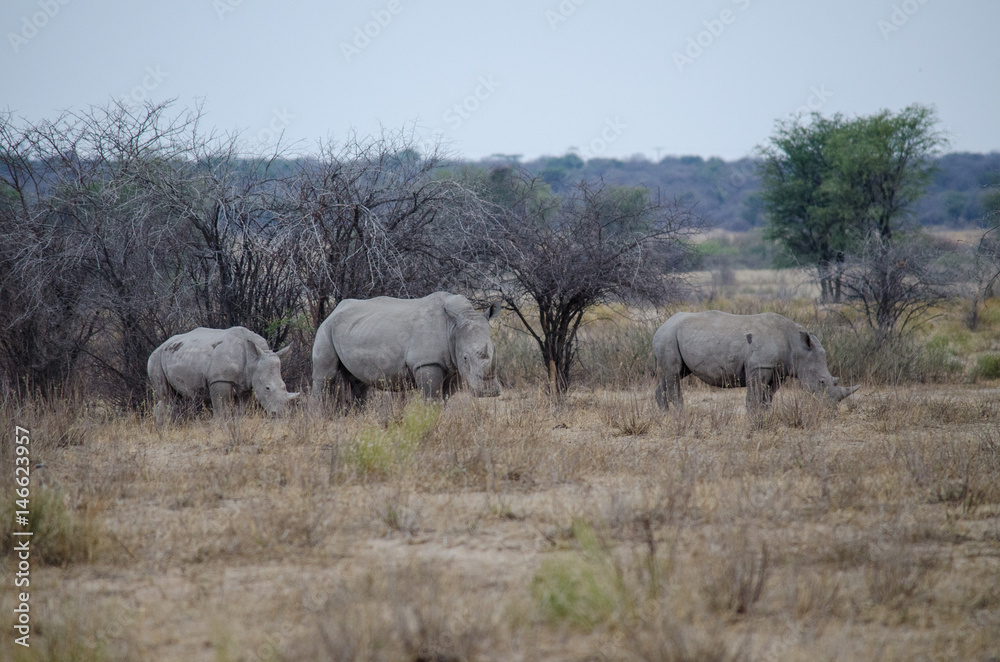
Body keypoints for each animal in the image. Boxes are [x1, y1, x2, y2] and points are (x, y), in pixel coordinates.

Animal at [146, 328, 298, 426]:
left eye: (284, 386)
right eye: (267, 388)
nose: (280, 415)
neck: (254, 360)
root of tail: (161, 345)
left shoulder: (247, 385)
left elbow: (241, 410)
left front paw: (237, 424)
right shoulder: (219, 379)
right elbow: (221, 408)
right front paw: (220, 427)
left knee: (173, 397)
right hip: (156, 358)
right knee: (166, 396)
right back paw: (163, 427)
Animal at [310, 294, 500, 408]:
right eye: (466, 358)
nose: (489, 392)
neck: (453, 327)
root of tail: (335, 309)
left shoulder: (454, 367)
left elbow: (445, 399)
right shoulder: (427, 363)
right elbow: (432, 399)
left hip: (353, 329)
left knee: (358, 382)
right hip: (326, 327)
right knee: (325, 377)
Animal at [652, 310, 856, 412]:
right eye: (821, 382)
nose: (830, 410)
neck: (799, 348)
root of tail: (661, 326)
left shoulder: (778, 370)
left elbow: (768, 396)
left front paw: (764, 415)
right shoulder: (759, 366)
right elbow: (755, 395)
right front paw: (753, 419)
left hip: (674, 335)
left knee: (675, 374)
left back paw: (665, 415)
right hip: (668, 335)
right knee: (673, 374)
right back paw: (680, 414)